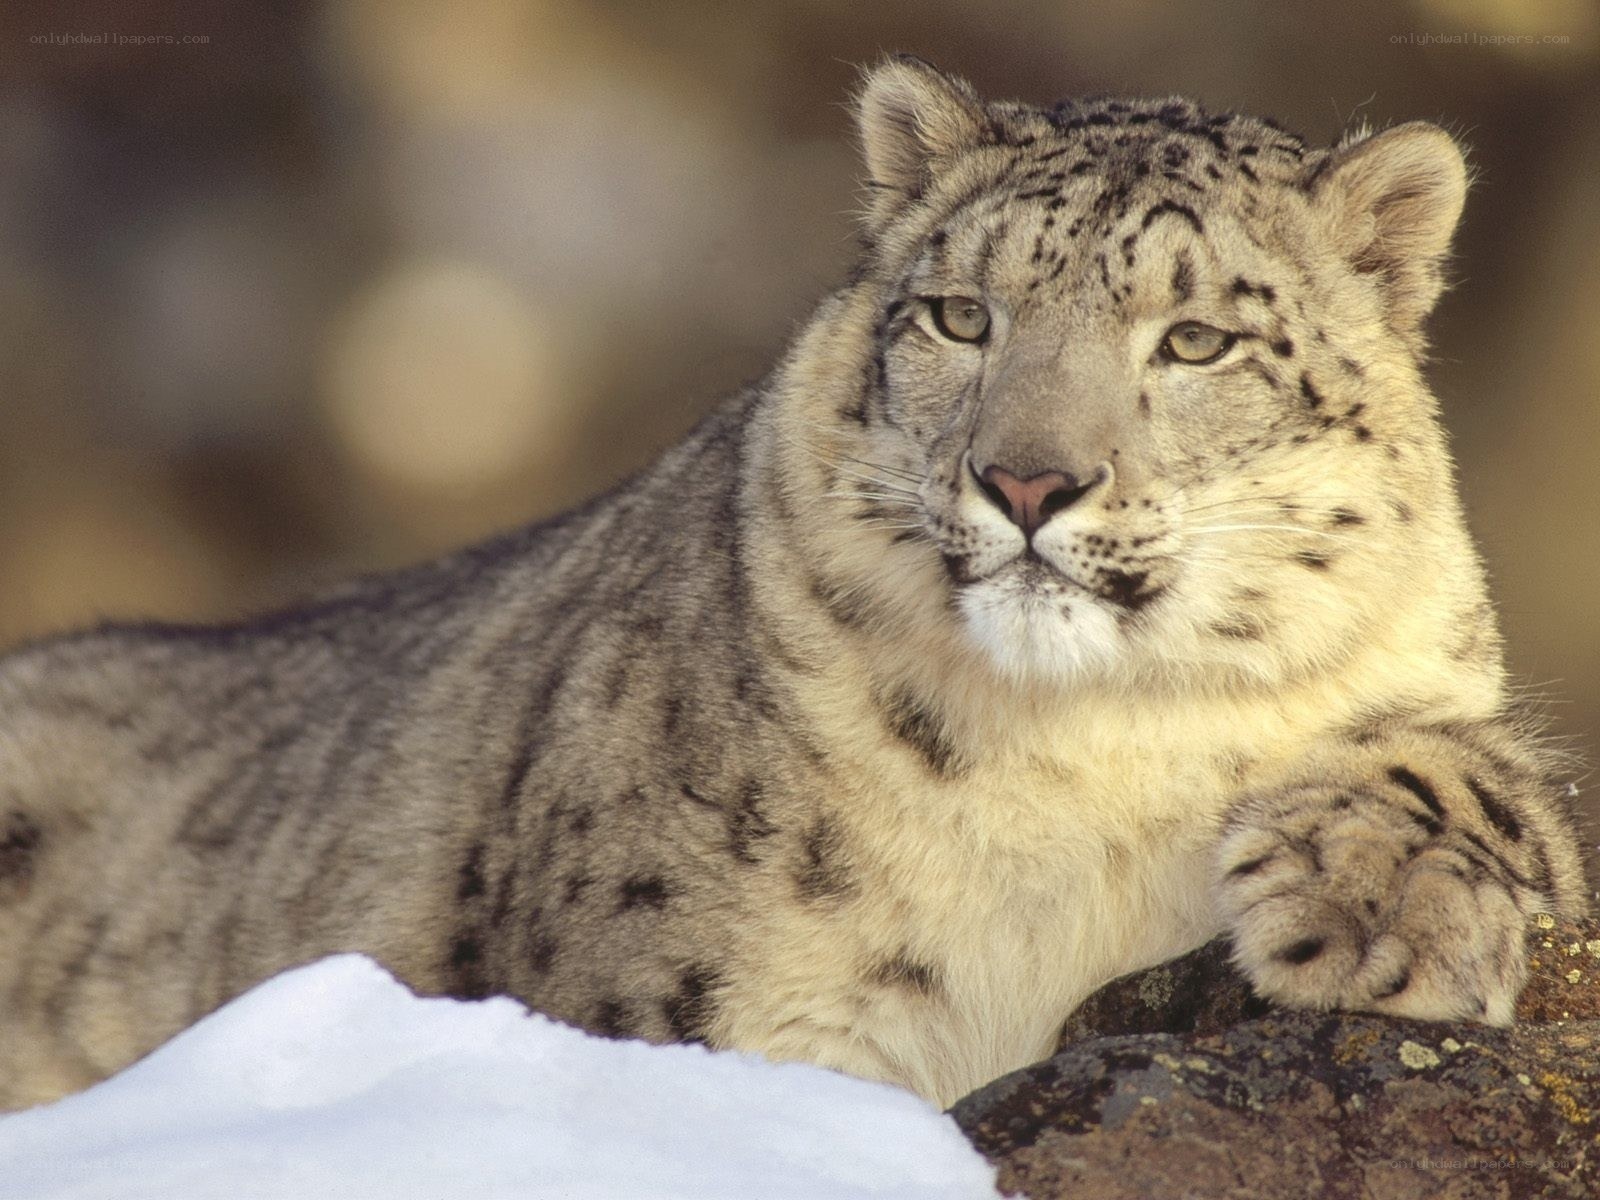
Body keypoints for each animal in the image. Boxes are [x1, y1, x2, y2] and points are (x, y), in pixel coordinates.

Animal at [0, 57, 1586, 1111]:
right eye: (959, 315)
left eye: (1197, 341)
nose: (1026, 482)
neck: (1088, 753)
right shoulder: (716, 1010)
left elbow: (1490, 779)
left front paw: (1374, 919)